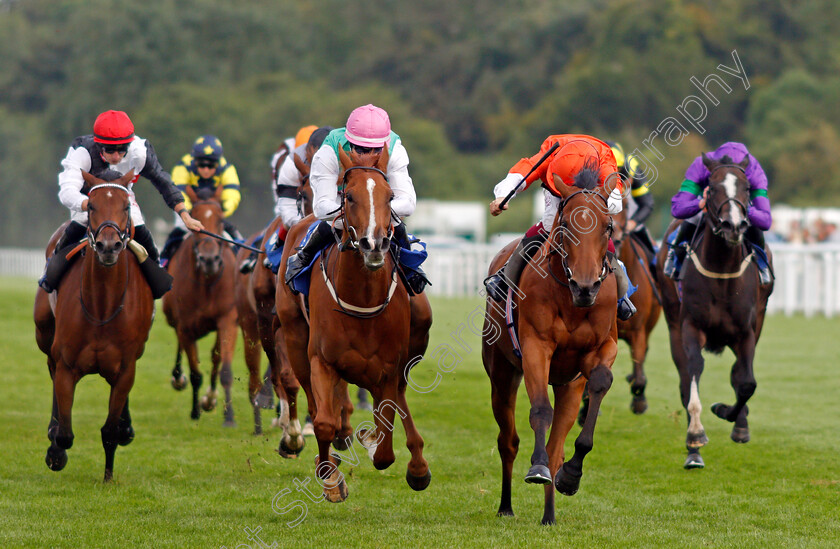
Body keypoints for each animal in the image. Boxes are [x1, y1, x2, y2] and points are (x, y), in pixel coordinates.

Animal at [32, 170, 152, 480]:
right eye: (92, 206)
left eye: (126, 206)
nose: (108, 246)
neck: (102, 306)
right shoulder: (66, 364)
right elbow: (65, 434)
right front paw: (55, 453)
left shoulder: (125, 369)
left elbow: (109, 431)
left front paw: (108, 476)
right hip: (44, 333)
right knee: (50, 369)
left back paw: (126, 426)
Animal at [162, 184, 238, 424]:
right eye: (195, 218)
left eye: (221, 219)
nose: (210, 260)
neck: (207, 281)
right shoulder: (186, 325)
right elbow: (195, 373)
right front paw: (195, 411)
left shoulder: (227, 319)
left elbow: (224, 368)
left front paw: (228, 415)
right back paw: (178, 378)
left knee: (215, 357)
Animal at [276, 147, 434, 500]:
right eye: (348, 196)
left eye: (390, 197)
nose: (373, 245)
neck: (362, 299)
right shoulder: (322, 361)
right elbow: (323, 422)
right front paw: (330, 477)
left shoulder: (389, 368)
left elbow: (386, 444)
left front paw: (373, 442)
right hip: (294, 340)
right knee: (312, 400)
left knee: (400, 397)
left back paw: (417, 464)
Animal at [482, 167, 620, 524]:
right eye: (567, 224)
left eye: (608, 226)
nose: (585, 286)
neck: (571, 300)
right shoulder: (536, 347)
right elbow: (540, 409)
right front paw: (538, 468)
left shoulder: (602, 348)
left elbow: (601, 382)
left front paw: (571, 476)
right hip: (501, 373)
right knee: (508, 441)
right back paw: (506, 505)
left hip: (568, 386)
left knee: (558, 445)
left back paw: (549, 515)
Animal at [656, 153, 776, 466]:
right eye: (711, 188)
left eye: (747, 188)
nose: (733, 225)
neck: (722, 271)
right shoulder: (690, 326)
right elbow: (694, 373)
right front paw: (695, 436)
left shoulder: (746, 332)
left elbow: (746, 382)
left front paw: (729, 415)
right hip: (673, 323)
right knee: (685, 380)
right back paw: (693, 453)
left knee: (737, 373)